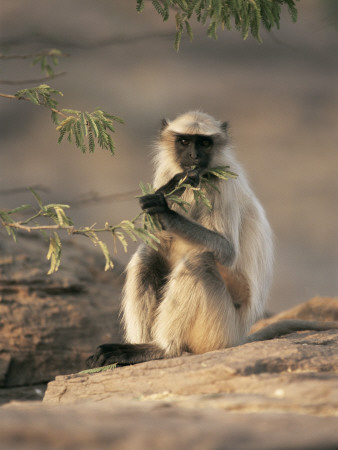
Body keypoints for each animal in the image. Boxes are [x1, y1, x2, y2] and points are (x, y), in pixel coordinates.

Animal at [88, 110, 338, 368]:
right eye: (185, 141)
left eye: (204, 143)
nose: (194, 155)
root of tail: (239, 336)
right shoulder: (168, 172)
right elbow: (156, 238)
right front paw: (171, 190)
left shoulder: (220, 182)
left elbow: (227, 251)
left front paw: (165, 209)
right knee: (148, 256)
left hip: (221, 328)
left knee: (199, 261)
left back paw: (162, 349)